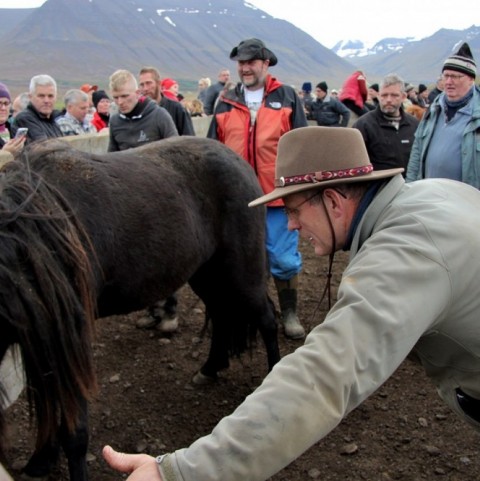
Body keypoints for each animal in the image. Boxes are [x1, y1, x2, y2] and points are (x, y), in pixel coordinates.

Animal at [0, 136, 282, 480]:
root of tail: (239, 160)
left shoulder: (69, 338)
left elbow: (74, 428)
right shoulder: (43, 343)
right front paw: (41, 460)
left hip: (241, 273)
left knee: (266, 319)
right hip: (206, 273)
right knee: (221, 316)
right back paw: (209, 369)